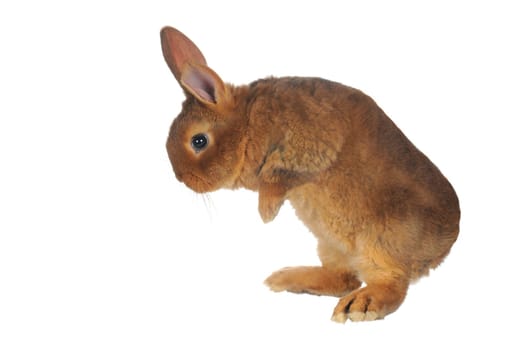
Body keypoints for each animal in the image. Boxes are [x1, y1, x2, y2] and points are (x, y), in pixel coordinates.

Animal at [160, 26, 458, 324]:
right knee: (343, 278)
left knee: (390, 283)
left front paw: (266, 210)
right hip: (331, 245)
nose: (182, 178)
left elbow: (278, 178)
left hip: (382, 241)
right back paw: (288, 278)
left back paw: (360, 305)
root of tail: (447, 241)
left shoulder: (305, 147)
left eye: (199, 141)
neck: (248, 121)